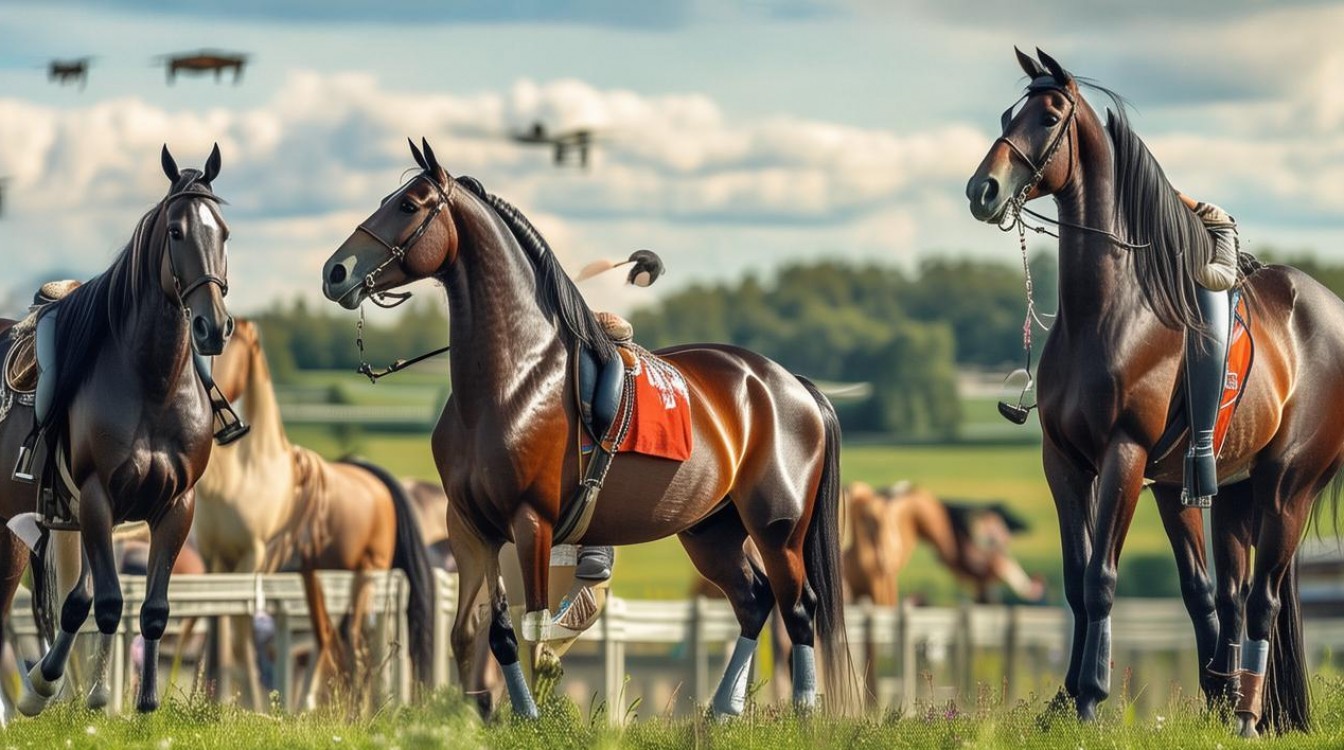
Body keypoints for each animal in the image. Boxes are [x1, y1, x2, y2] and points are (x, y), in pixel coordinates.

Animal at [0, 145, 234, 715]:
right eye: (175, 231)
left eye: (223, 232)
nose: (213, 327)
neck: (152, 385)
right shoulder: (95, 499)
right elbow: (102, 603)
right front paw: (84, 697)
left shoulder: (175, 507)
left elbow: (146, 608)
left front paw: (144, 702)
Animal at [195, 318, 435, 708]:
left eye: (231, 345)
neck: (246, 473)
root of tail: (375, 480)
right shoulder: (214, 559)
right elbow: (218, 634)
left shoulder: (253, 559)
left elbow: (241, 635)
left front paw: (251, 705)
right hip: (320, 575)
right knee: (330, 639)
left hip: (366, 573)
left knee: (356, 644)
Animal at [319, 139, 854, 718]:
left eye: (409, 206)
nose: (335, 271)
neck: (512, 378)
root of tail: (791, 385)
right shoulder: (469, 527)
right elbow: (476, 632)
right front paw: (476, 715)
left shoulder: (531, 523)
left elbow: (532, 632)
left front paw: (529, 718)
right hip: (712, 530)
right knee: (754, 602)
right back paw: (719, 712)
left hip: (778, 528)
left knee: (797, 608)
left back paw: (803, 712)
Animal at [966, 49, 1344, 736]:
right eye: (1009, 116)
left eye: (1050, 115)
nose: (982, 190)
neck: (1106, 312)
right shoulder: (1066, 463)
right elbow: (1075, 580)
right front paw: (1063, 701)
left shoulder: (1125, 455)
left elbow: (1100, 578)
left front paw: (1090, 697)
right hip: (1221, 492)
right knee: (1221, 593)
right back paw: (1227, 703)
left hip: (1285, 490)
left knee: (1263, 600)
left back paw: (1247, 714)